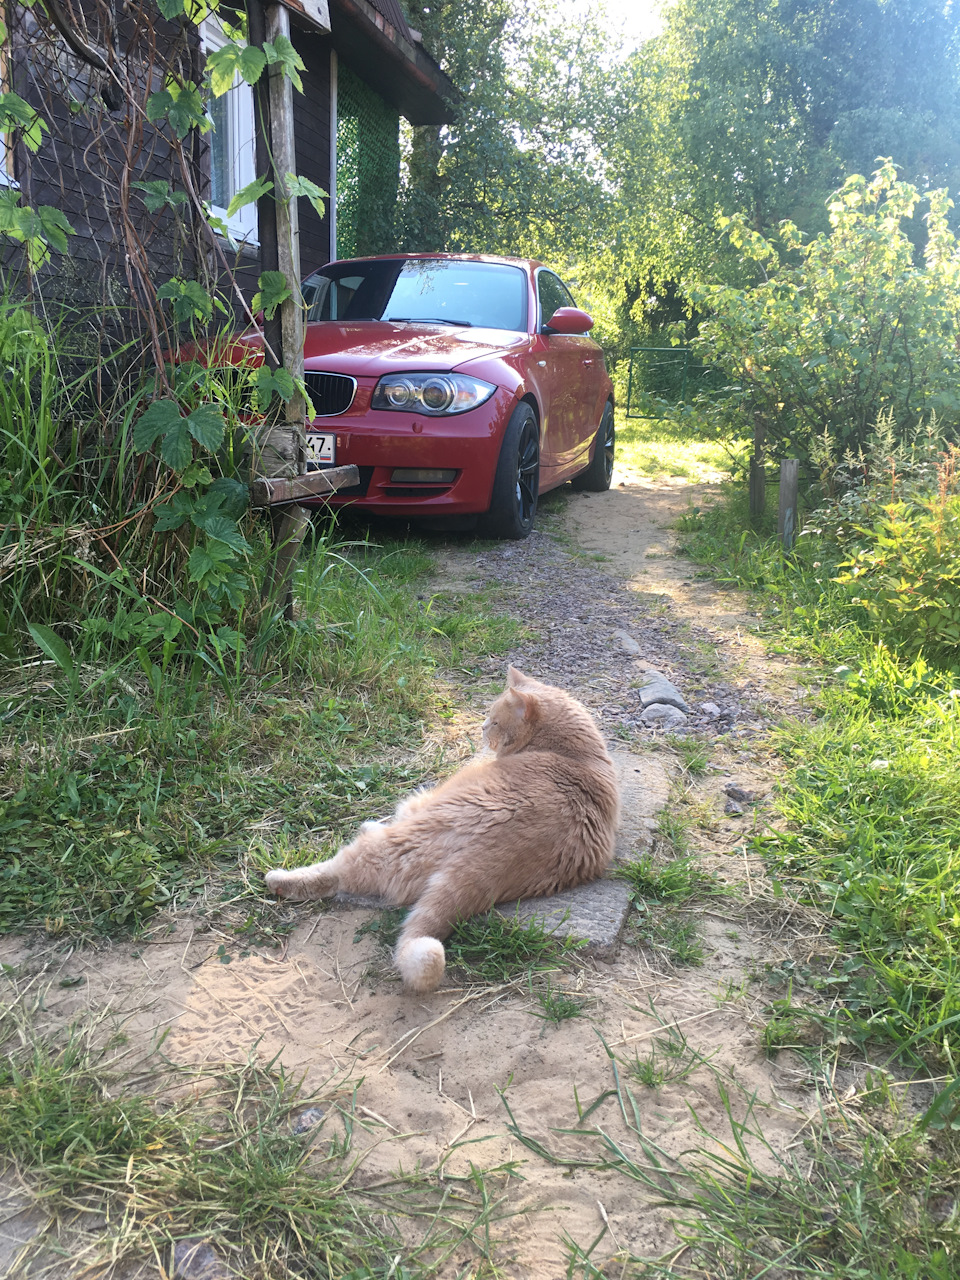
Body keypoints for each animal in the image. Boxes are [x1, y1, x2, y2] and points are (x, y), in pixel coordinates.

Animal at [264, 665, 624, 993]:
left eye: (494, 721)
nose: (482, 727)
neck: (576, 755)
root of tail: (480, 866)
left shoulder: (428, 799)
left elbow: (406, 805)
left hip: (391, 847)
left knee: (334, 873)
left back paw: (282, 877)